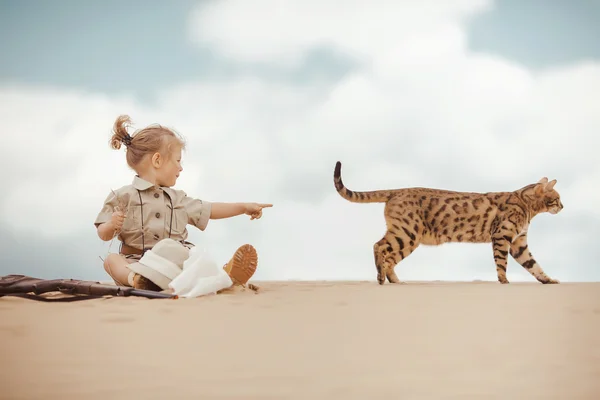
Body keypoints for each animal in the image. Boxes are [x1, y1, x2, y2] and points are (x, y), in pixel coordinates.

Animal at [332, 161, 564, 286]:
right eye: (557, 198)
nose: (563, 206)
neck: (526, 205)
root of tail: (397, 190)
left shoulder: (519, 242)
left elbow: (534, 265)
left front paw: (548, 280)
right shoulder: (502, 236)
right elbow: (501, 263)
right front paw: (504, 281)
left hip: (407, 237)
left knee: (389, 257)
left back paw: (395, 281)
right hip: (407, 233)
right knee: (378, 247)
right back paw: (380, 277)